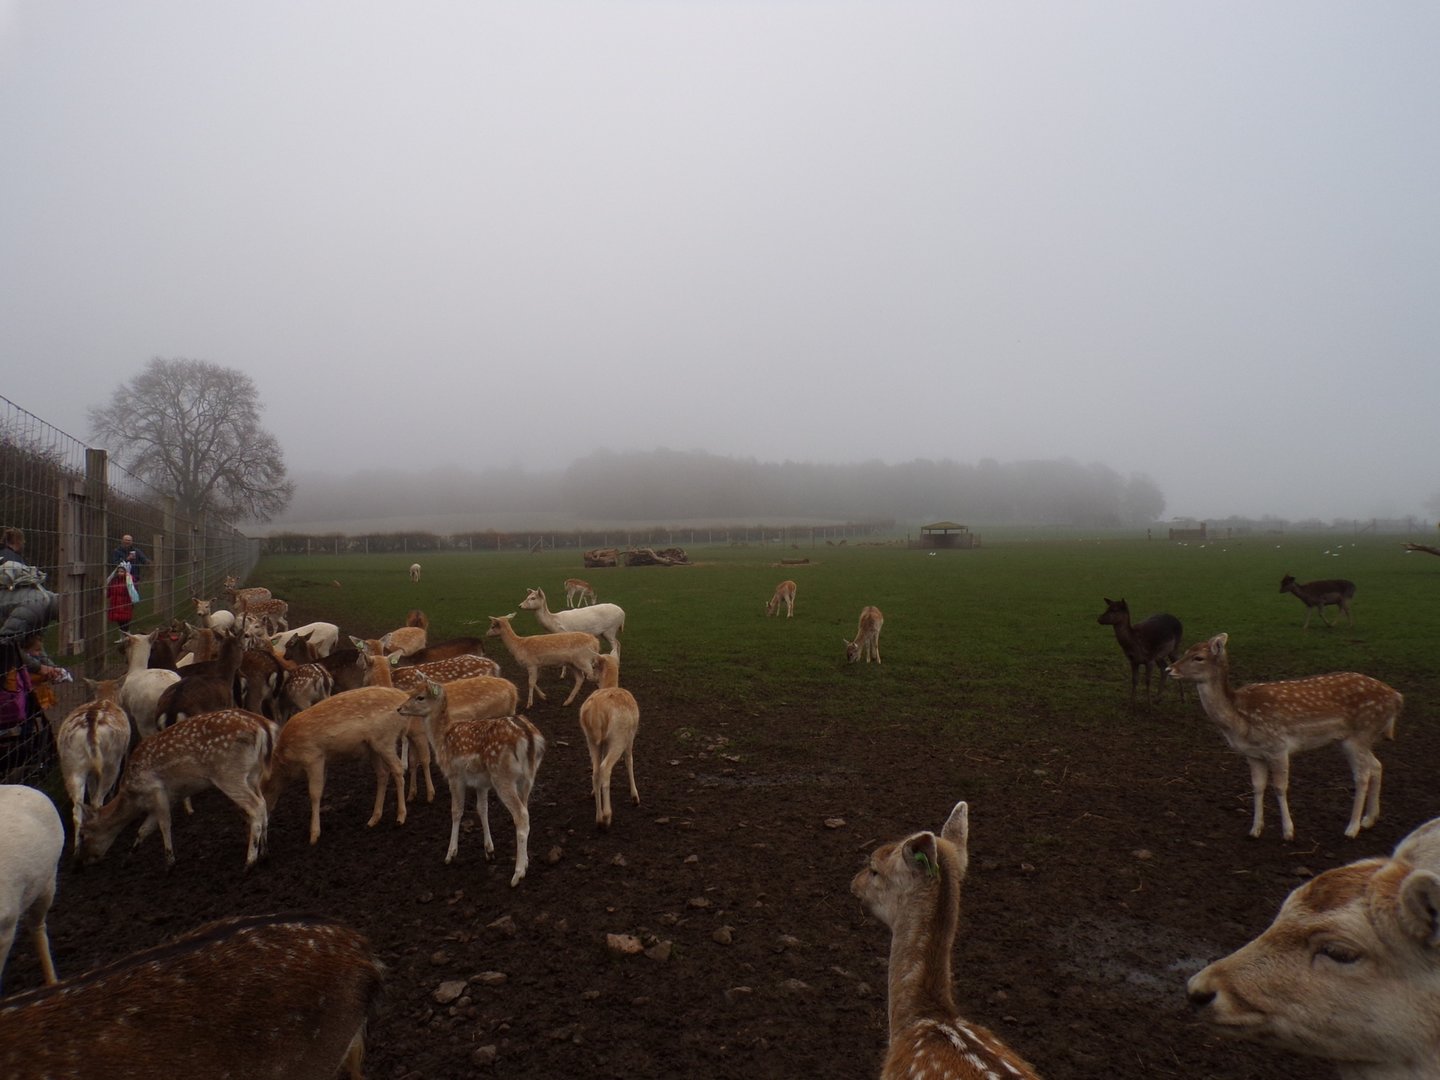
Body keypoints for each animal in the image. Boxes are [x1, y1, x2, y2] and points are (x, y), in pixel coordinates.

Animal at [54, 680, 132, 848]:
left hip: (71, 764)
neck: (106, 697)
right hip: (111, 761)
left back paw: (77, 847)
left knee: (76, 810)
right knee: (97, 801)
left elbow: (90, 788)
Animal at [76, 708, 277, 870]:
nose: (82, 862)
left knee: (256, 806)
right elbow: (144, 829)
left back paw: (250, 861)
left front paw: (169, 862)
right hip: (253, 774)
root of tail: (263, 725)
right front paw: (127, 859)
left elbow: (164, 824)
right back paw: (265, 853)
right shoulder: (167, 798)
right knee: (264, 804)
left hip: (228, 773)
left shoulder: (155, 790)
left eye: (84, 834)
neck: (132, 796)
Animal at [396, 680, 545, 886]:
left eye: (420, 697)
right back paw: (526, 862)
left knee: (521, 815)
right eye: (412, 691)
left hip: (503, 777)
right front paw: (489, 851)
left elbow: (456, 811)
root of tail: (530, 737)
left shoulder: (454, 776)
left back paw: (517, 874)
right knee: (526, 811)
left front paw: (450, 854)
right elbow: (482, 809)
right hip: (528, 777)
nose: (399, 708)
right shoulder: (481, 783)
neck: (441, 739)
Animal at [578, 654, 639, 829]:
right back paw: (607, 816)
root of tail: (594, 712)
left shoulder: (603, 743)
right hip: (618, 737)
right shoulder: (630, 737)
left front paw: (593, 792)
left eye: (593, 665)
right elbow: (629, 760)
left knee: (596, 770)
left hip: (591, 739)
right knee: (605, 768)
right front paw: (635, 797)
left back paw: (598, 818)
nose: (586, 674)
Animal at [1167, 633, 1402, 840]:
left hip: (1360, 735)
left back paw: (1352, 828)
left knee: (1362, 775)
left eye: (1198, 657)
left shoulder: (1278, 746)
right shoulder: (1253, 754)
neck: (1240, 720)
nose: (1169, 669)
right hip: (1354, 739)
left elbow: (1280, 787)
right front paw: (1255, 830)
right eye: (1186, 651)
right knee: (1376, 765)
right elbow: (1257, 786)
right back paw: (1369, 819)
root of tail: (1397, 696)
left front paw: (1288, 832)